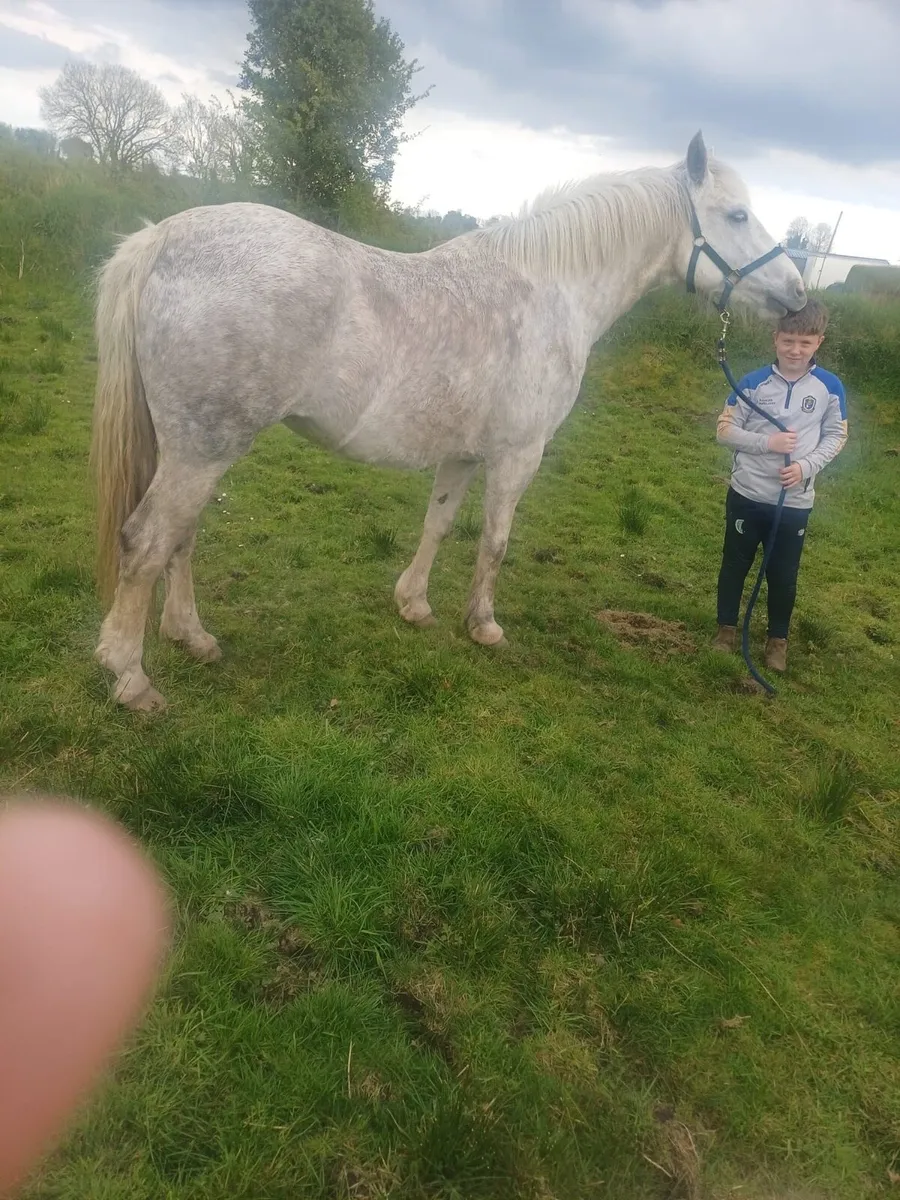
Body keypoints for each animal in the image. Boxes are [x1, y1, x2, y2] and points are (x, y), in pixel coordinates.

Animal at [91, 131, 806, 711]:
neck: (553, 290)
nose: (798, 294)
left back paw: (193, 638)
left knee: (179, 540)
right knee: (147, 543)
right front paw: (483, 625)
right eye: (737, 214)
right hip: (203, 448)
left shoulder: (462, 453)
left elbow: (438, 524)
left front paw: (414, 605)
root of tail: (161, 240)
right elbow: (495, 540)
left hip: (197, 450)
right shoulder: (518, 453)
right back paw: (130, 678)